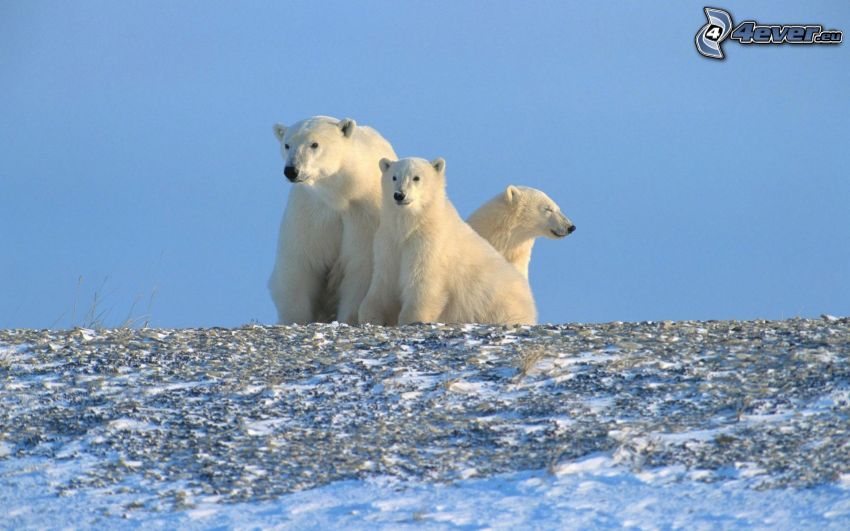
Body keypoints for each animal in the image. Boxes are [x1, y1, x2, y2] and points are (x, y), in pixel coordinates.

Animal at [266, 116, 396, 324]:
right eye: (287, 144)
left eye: (314, 144)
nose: (291, 170)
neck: (341, 194)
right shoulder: (310, 213)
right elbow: (299, 265)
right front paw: (296, 318)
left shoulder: (364, 215)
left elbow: (360, 268)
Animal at [360, 156, 536, 326]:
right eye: (394, 177)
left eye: (416, 178)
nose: (399, 195)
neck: (412, 225)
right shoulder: (389, 241)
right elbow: (384, 281)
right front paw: (371, 316)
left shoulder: (429, 244)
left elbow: (423, 281)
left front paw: (411, 318)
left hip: (501, 305)